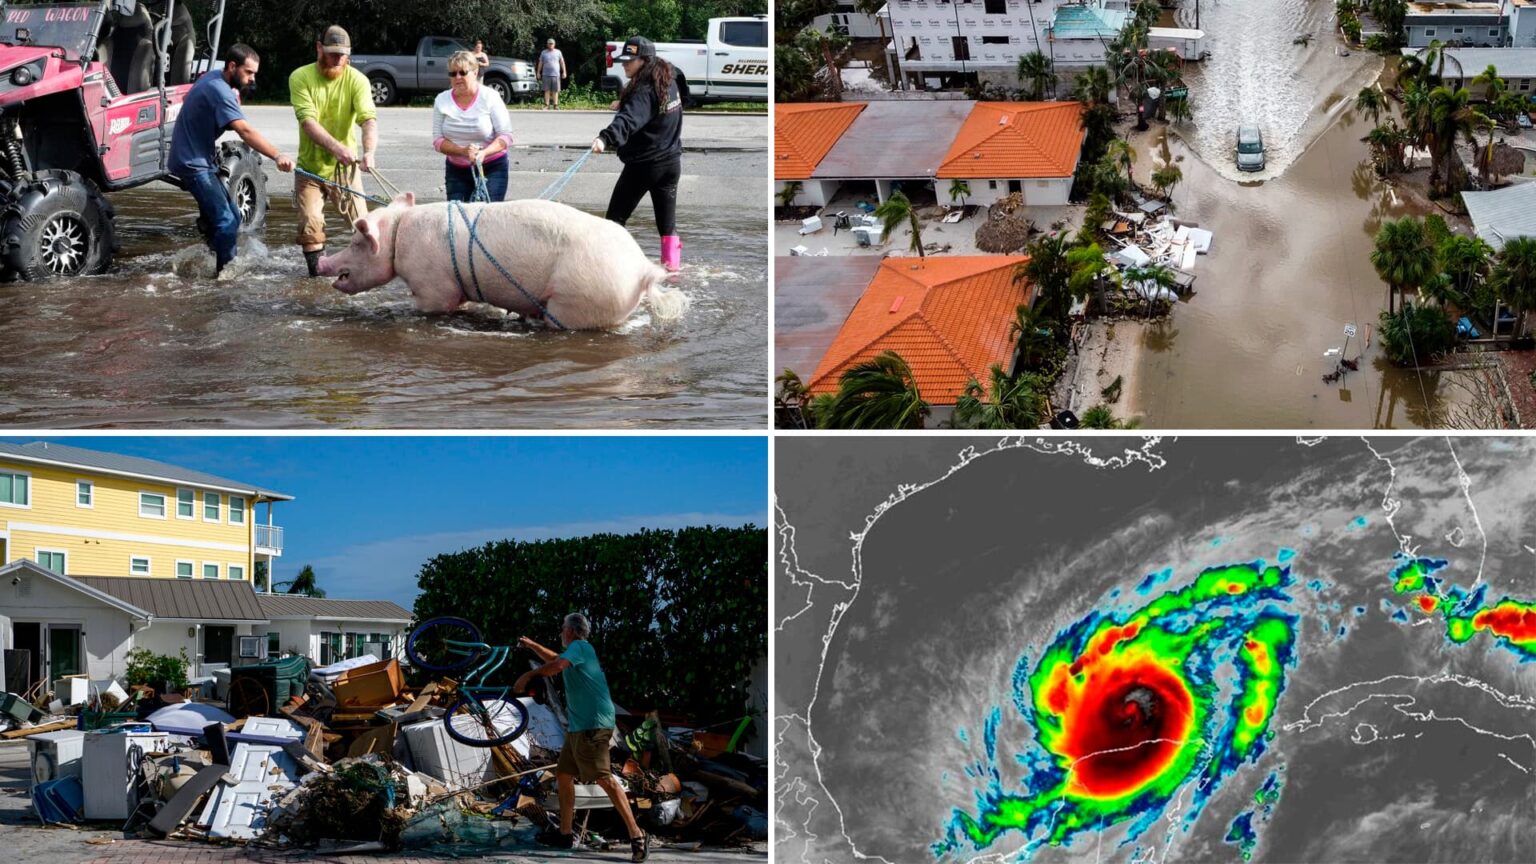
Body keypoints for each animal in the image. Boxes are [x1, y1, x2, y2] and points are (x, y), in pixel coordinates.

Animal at [314, 193, 688, 327]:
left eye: (356, 242)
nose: (321, 264)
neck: (398, 235)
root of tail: (642, 270)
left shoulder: (433, 285)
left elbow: (434, 305)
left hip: (579, 297)